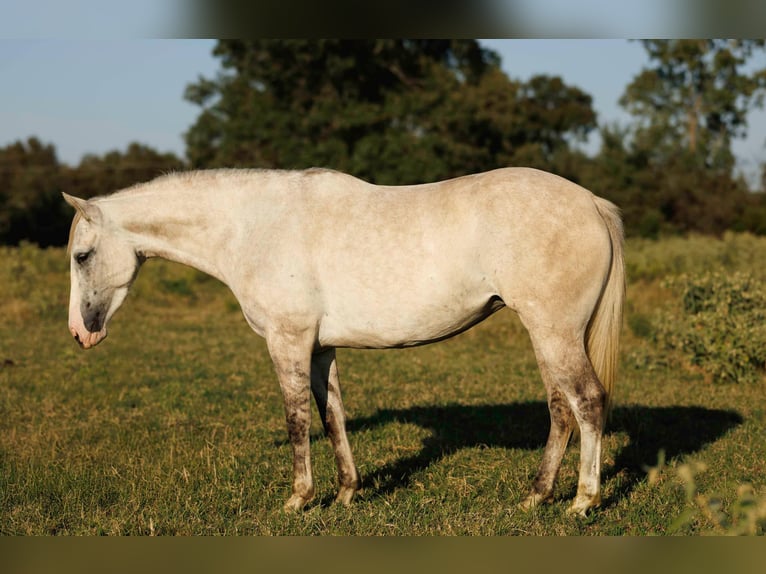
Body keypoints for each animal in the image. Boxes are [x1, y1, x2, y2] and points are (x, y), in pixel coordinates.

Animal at [64, 166, 624, 516]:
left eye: (81, 256)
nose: (80, 332)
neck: (254, 227)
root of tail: (592, 204)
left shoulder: (288, 342)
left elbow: (296, 420)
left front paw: (299, 499)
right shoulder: (320, 348)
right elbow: (332, 415)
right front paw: (347, 494)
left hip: (554, 332)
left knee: (587, 403)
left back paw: (583, 501)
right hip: (546, 334)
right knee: (561, 410)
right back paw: (536, 496)